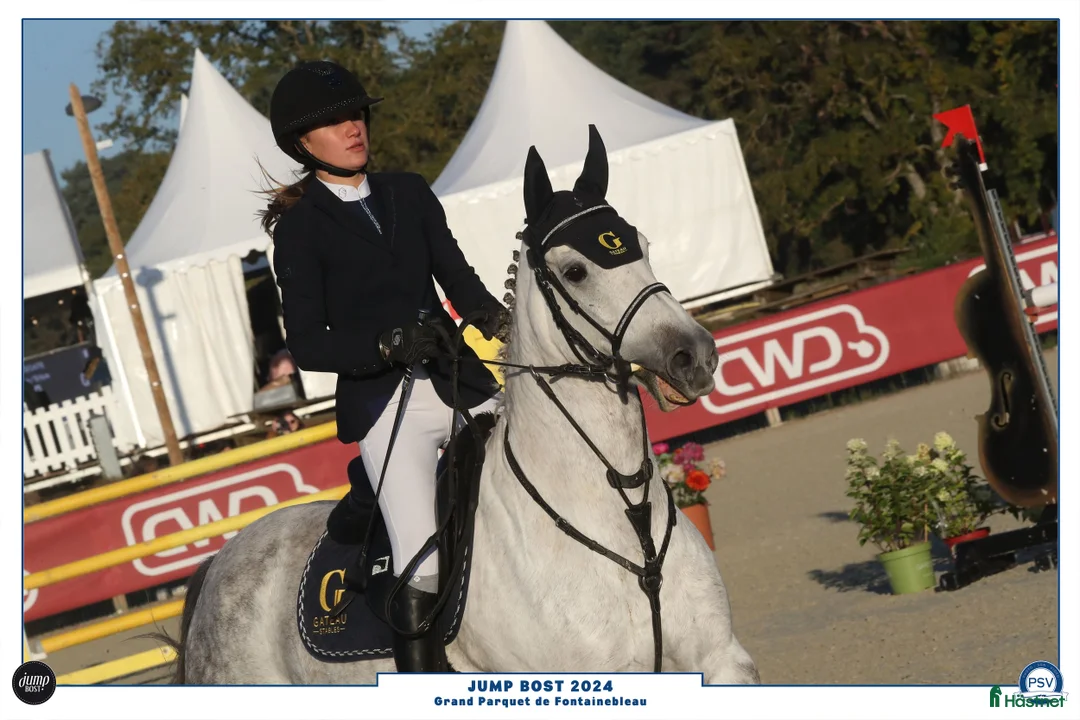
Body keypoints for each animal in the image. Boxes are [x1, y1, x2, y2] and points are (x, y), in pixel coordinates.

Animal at [164, 125, 760, 684]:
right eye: (575, 271)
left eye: (642, 245)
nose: (695, 357)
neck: (623, 515)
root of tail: (217, 564)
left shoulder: (721, 661)